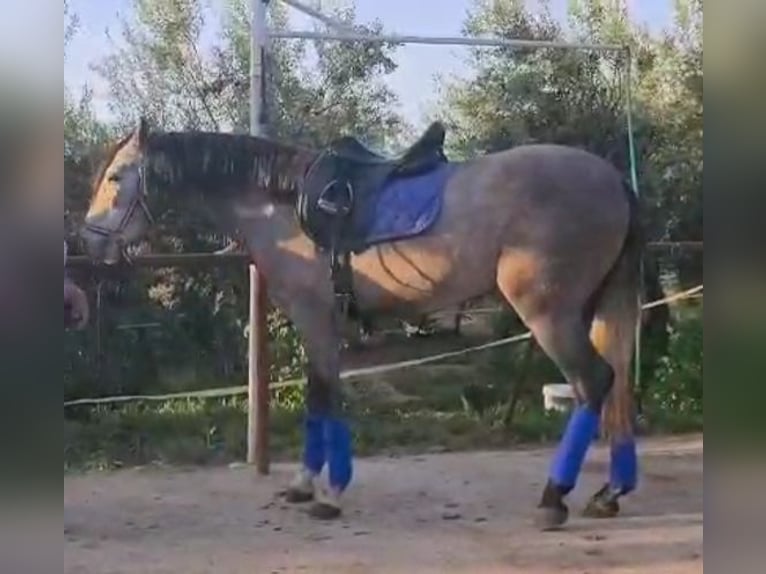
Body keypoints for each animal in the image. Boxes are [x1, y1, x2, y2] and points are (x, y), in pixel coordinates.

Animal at [80, 117, 649, 530]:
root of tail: (614, 179)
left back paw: (555, 498)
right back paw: (610, 493)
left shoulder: (315, 314)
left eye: (115, 178)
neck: (280, 205)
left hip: (550, 312)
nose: (87, 243)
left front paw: (329, 494)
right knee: (618, 381)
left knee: (592, 382)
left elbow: (325, 395)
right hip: (598, 305)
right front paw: (305, 484)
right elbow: (319, 394)